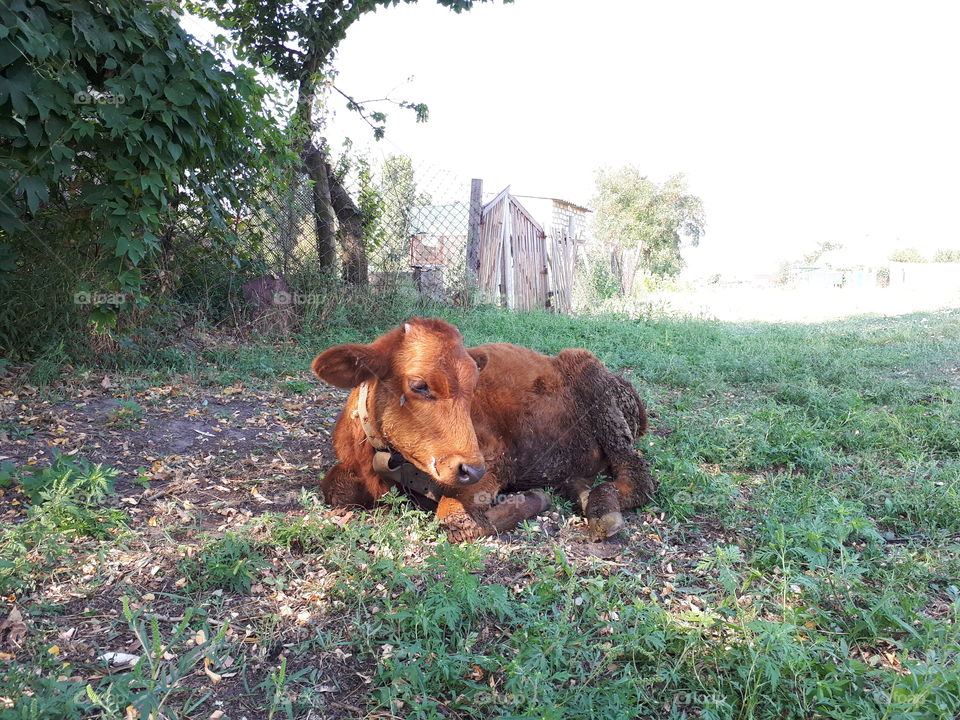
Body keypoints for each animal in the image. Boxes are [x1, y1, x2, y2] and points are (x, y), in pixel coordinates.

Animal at [312, 318, 656, 544]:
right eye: (419, 385)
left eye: (473, 388)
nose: (471, 469)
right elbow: (335, 489)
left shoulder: (493, 463)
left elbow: (454, 519)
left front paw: (534, 498)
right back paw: (583, 493)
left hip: (596, 388)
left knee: (638, 475)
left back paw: (602, 509)